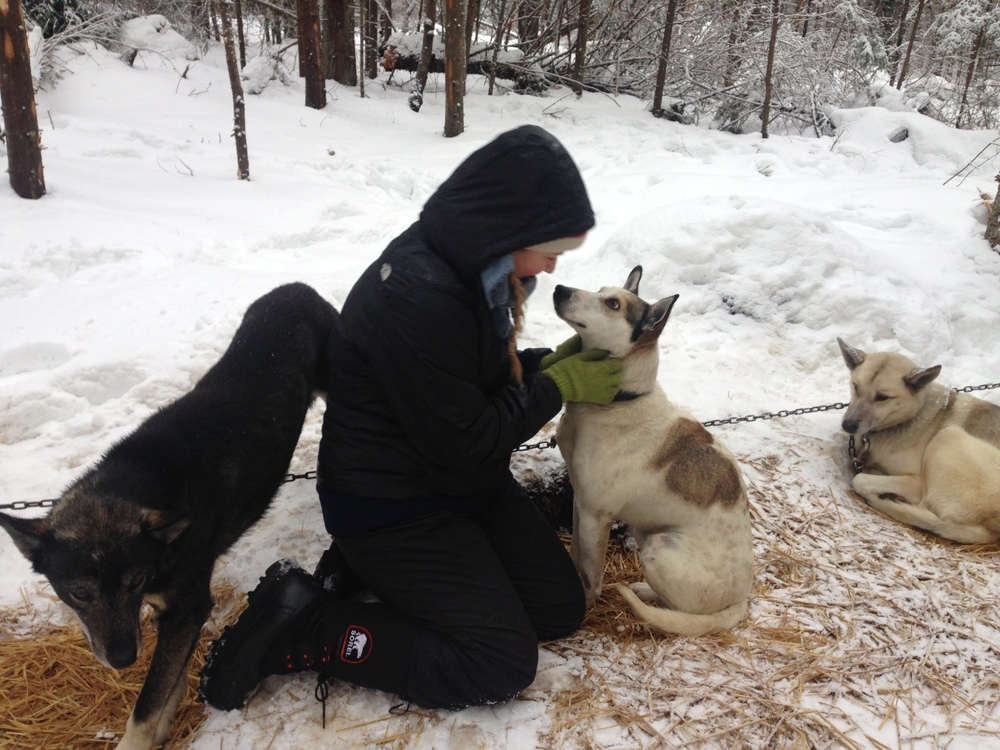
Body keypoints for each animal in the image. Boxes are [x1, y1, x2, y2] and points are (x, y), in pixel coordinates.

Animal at [0, 284, 340, 750]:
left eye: (135, 580)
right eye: (79, 593)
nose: (123, 658)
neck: (140, 486)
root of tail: (297, 288)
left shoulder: (186, 609)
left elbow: (148, 702)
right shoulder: (174, 614)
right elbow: (169, 687)